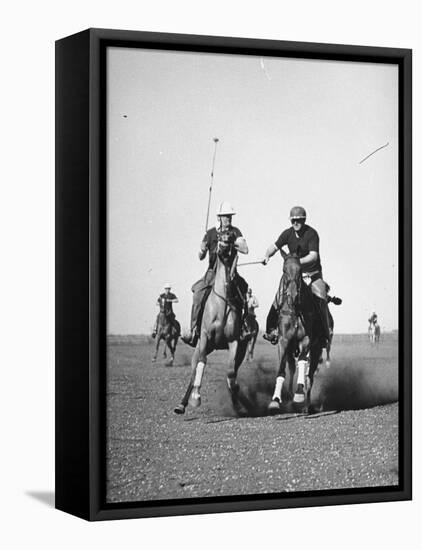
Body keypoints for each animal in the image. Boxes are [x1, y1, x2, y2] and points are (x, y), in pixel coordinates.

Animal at [174, 231, 249, 416]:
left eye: (231, 238)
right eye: (220, 236)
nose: (222, 247)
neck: (221, 304)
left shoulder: (234, 341)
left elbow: (230, 373)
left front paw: (238, 403)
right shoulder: (206, 336)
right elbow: (202, 363)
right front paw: (196, 398)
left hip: (240, 351)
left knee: (233, 371)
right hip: (202, 345)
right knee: (194, 370)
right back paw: (182, 404)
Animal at [268, 254, 324, 414]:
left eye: (300, 271)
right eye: (284, 270)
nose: (292, 295)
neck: (295, 309)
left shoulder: (306, 339)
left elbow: (303, 363)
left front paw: (299, 395)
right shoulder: (283, 340)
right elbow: (282, 369)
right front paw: (275, 400)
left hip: (316, 349)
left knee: (309, 376)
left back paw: (306, 406)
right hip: (290, 349)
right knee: (292, 369)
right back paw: (289, 399)